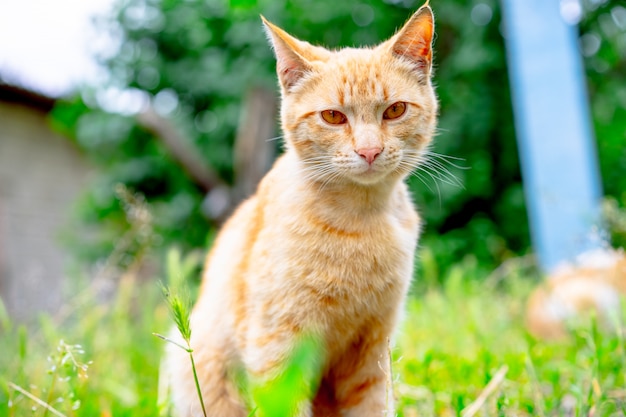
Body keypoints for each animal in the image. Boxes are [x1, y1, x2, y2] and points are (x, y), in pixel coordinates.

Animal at [166, 4, 436, 414]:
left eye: (395, 110)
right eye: (333, 117)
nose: (369, 151)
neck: (361, 221)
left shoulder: (373, 349)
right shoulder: (276, 348)